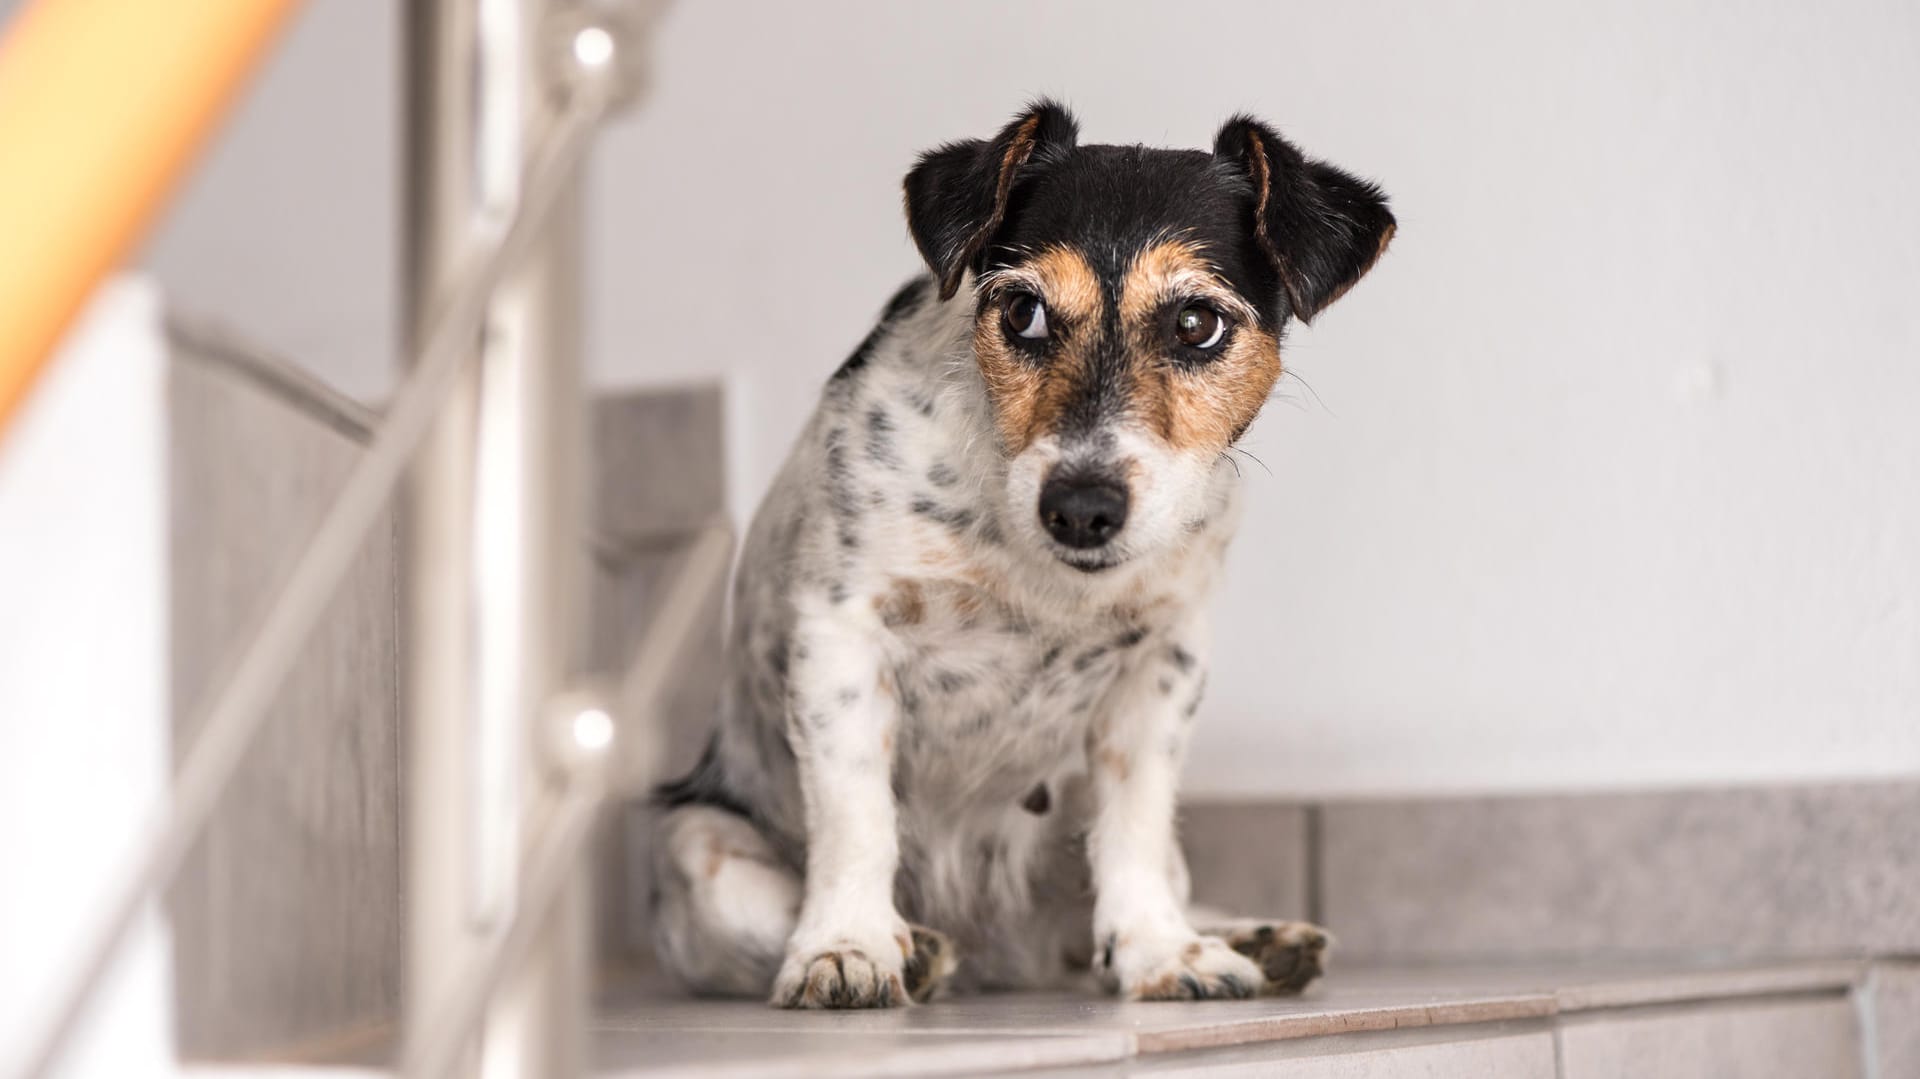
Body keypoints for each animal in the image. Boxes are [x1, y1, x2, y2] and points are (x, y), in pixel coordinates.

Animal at [652, 96, 1390, 1006]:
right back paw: (917, 949)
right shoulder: (839, 633)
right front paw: (846, 945)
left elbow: (1135, 825)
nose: (1080, 508)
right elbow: (856, 811)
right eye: (1022, 312)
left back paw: (1249, 936)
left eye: (1197, 323)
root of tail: (1002, 951)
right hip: (697, 851)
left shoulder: (1163, 665)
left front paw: (1160, 950)